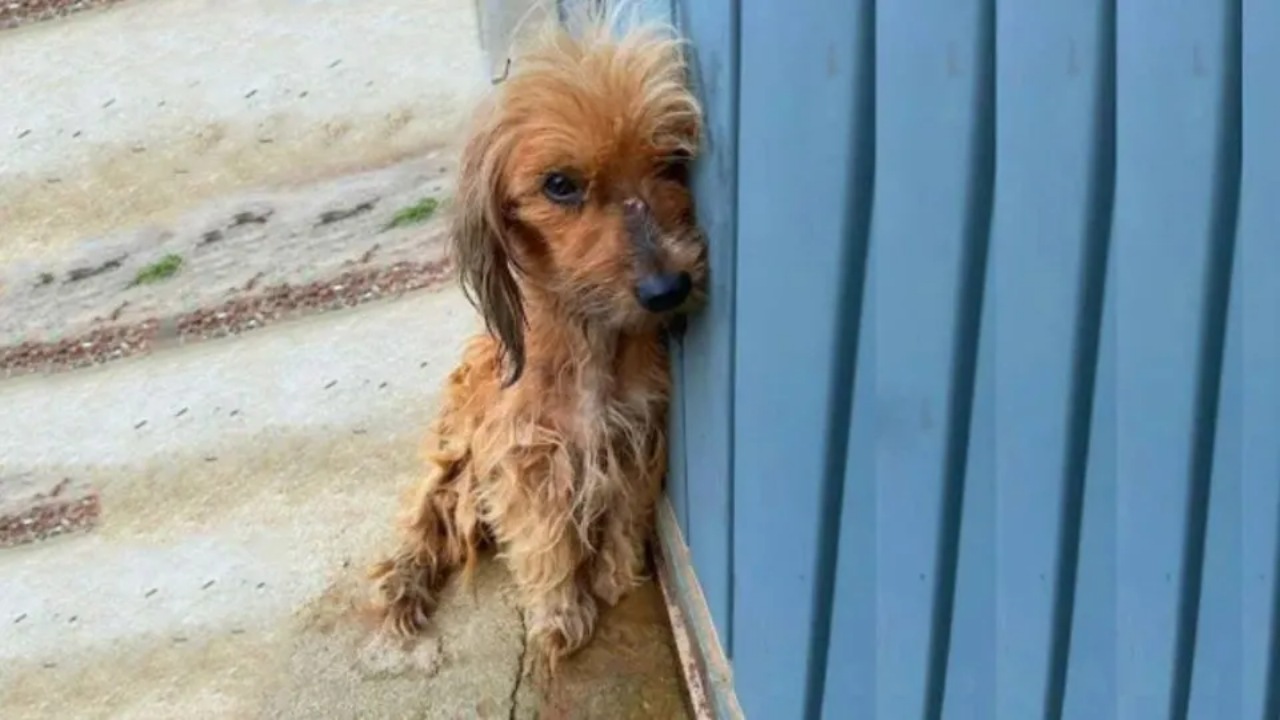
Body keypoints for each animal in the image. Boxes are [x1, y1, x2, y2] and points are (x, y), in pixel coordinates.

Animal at [368, 7, 711, 666]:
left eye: (670, 160)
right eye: (560, 184)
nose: (668, 290)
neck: (588, 339)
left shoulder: (633, 438)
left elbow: (622, 513)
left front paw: (613, 576)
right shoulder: (527, 460)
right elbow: (547, 542)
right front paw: (561, 612)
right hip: (454, 450)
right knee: (425, 515)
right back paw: (403, 582)